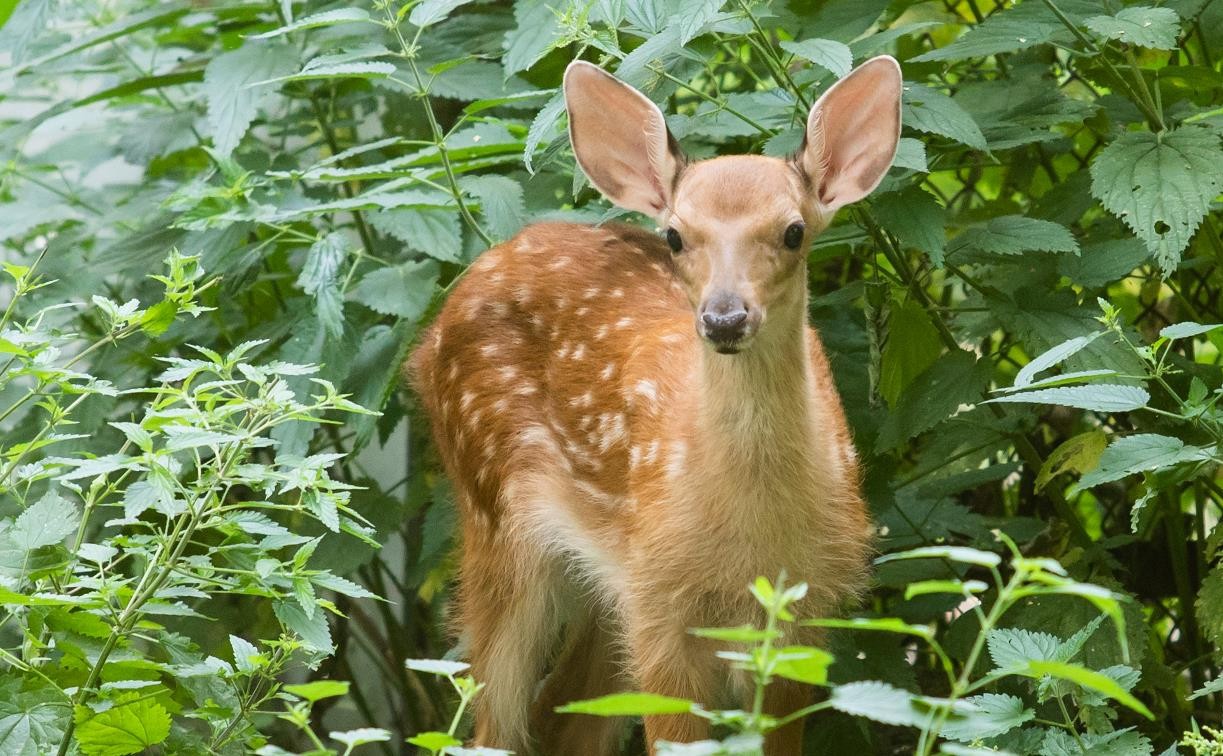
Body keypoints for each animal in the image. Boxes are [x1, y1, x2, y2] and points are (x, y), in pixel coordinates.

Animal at [406, 55, 905, 748]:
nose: (724, 318)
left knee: (561, 715)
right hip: (496, 515)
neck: (750, 537)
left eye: (794, 231)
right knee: (491, 726)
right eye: (674, 236)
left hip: (605, 581)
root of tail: (429, 339)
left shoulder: (800, 613)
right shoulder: (662, 607)